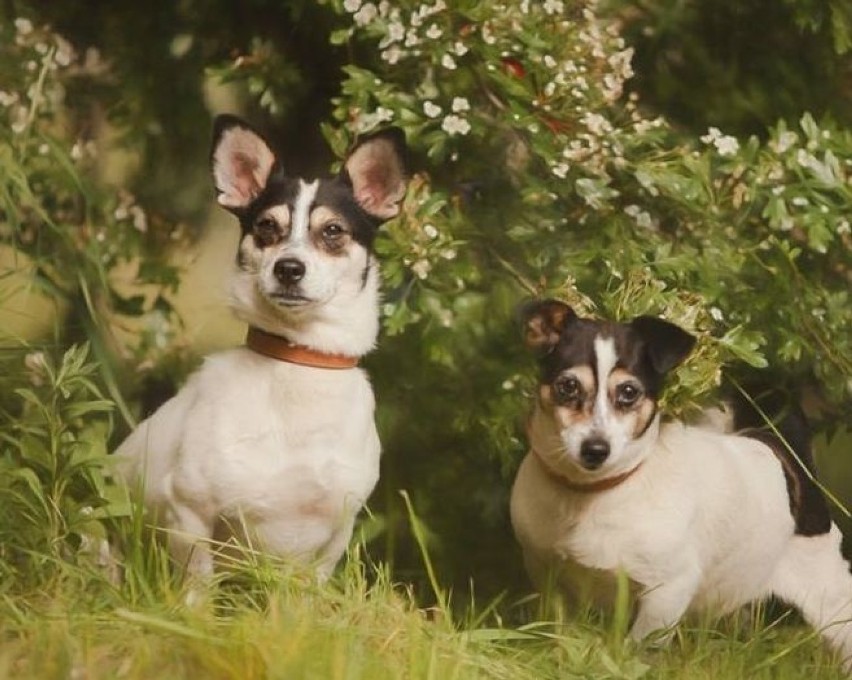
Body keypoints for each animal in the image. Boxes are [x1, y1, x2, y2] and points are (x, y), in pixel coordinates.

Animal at [510, 300, 852, 668]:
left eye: (628, 392)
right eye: (568, 386)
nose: (596, 449)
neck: (594, 492)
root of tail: (782, 451)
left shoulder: (666, 594)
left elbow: (640, 648)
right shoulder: (548, 577)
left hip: (828, 597)